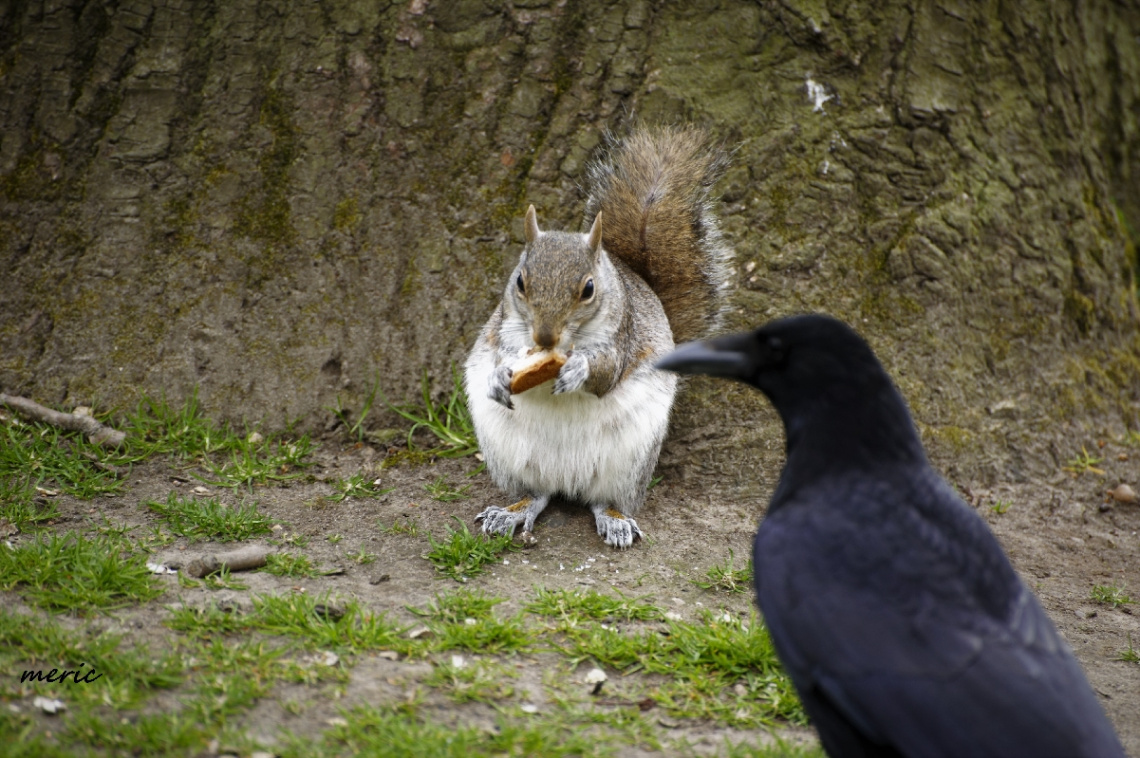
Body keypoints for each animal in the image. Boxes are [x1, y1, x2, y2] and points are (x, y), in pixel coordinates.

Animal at [462, 127, 729, 547]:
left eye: (588, 288)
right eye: (520, 281)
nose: (544, 336)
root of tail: (566, 480)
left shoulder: (622, 337)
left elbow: (606, 372)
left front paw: (578, 371)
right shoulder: (505, 326)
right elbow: (501, 354)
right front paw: (499, 377)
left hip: (629, 462)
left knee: (605, 500)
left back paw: (616, 519)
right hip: (510, 458)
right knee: (537, 494)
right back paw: (512, 511)